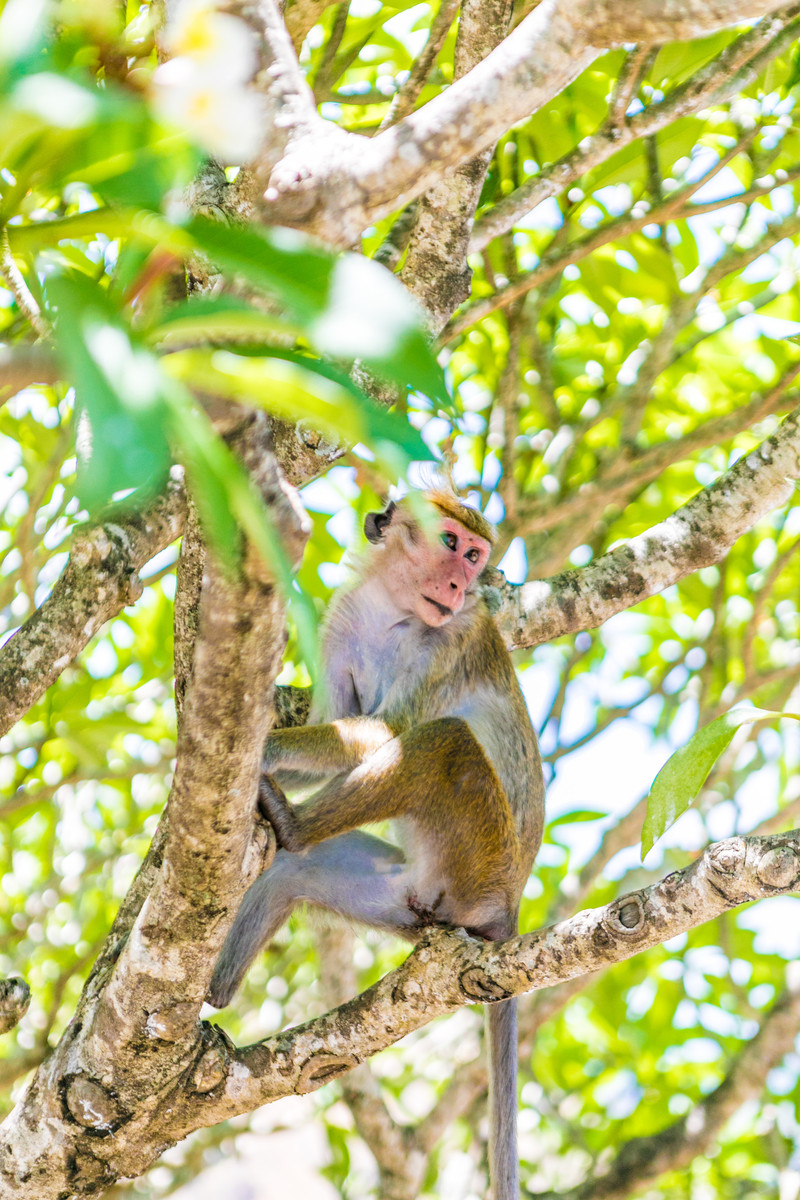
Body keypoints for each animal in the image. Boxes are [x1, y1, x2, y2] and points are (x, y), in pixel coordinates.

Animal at [206, 489, 546, 1200]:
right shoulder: (340, 621)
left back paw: (291, 822)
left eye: (477, 557)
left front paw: (266, 748)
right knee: (292, 873)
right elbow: (335, 716)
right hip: (399, 894)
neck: (393, 608)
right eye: (452, 544)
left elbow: (383, 729)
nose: (462, 584)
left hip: (478, 856)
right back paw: (215, 994)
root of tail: (508, 905)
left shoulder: (448, 642)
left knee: (442, 742)